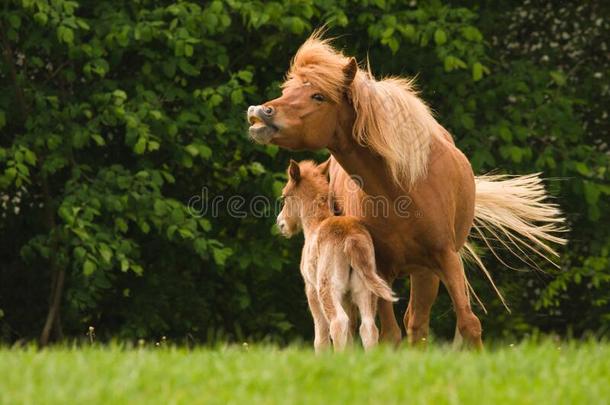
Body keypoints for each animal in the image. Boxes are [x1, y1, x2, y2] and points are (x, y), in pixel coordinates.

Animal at [247, 34, 564, 348]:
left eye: (318, 96)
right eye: (288, 89)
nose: (260, 112)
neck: (399, 191)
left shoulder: (445, 258)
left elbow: (468, 323)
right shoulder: (381, 269)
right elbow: (389, 333)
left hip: (425, 272)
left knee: (416, 323)